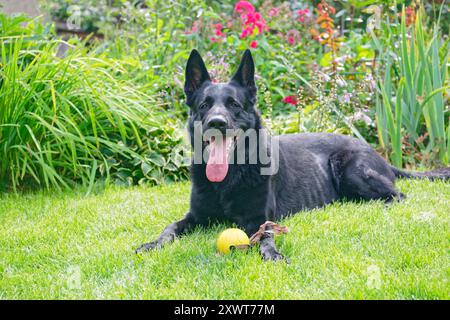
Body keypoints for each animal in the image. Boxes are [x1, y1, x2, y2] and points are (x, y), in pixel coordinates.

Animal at [136, 49, 450, 260]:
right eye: (203, 105)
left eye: (234, 105)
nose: (217, 122)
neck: (230, 178)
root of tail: (377, 153)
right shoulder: (194, 217)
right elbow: (170, 228)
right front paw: (153, 243)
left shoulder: (259, 220)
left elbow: (266, 236)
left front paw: (271, 253)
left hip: (351, 170)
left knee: (398, 195)